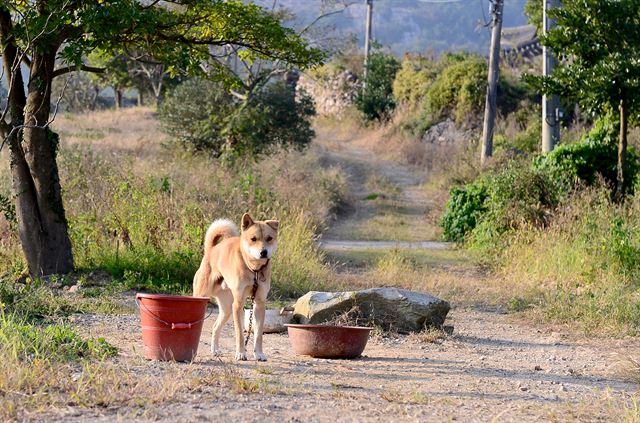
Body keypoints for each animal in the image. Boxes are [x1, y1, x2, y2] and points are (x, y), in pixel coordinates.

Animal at [192, 214, 278, 362]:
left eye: (269, 238)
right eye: (253, 239)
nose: (263, 252)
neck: (254, 270)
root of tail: (211, 250)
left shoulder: (259, 304)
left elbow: (258, 334)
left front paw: (259, 354)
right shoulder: (238, 304)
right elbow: (240, 334)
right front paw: (241, 353)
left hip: (226, 308)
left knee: (215, 327)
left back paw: (215, 350)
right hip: (201, 299)